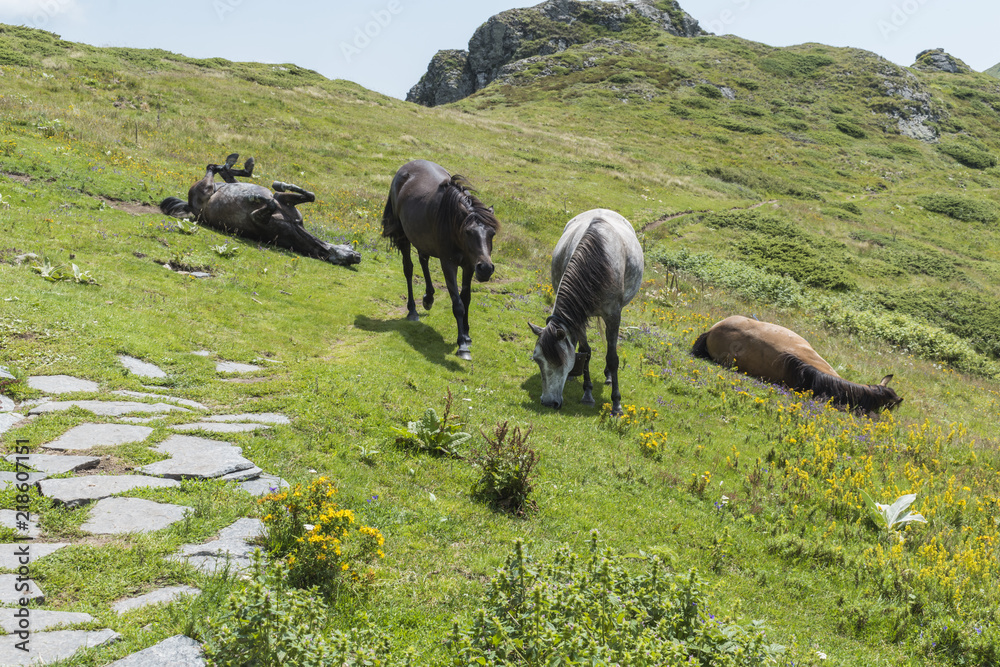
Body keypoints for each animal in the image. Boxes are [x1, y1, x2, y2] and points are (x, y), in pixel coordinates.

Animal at [160, 154, 361, 266]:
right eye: (351, 248)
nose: (358, 256)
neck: (293, 226)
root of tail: (188, 204)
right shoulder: (283, 200)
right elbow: (307, 195)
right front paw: (278, 184)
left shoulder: (259, 217)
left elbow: (269, 203)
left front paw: (253, 197)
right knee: (221, 170)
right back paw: (240, 165)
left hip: (206, 189)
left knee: (214, 169)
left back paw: (236, 166)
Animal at [381, 159, 500, 360]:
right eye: (468, 232)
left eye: (492, 233)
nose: (485, 268)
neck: (453, 220)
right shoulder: (448, 264)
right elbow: (458, 303)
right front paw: (462, 345)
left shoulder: (469, 265)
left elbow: (466, 298)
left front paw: (467, 335)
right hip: (404, 236)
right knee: (409, 269)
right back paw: (412, 310)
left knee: (423, 260)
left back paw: (428, 298)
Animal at [528, 209, 644, 416]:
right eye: (537, 360)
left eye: (560, 361)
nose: (548, 403)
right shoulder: (578, 317)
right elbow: (585, 351)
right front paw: (587, 394)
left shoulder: (613, 315)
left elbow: (612, 358)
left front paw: (616, 404)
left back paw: (608, 377)